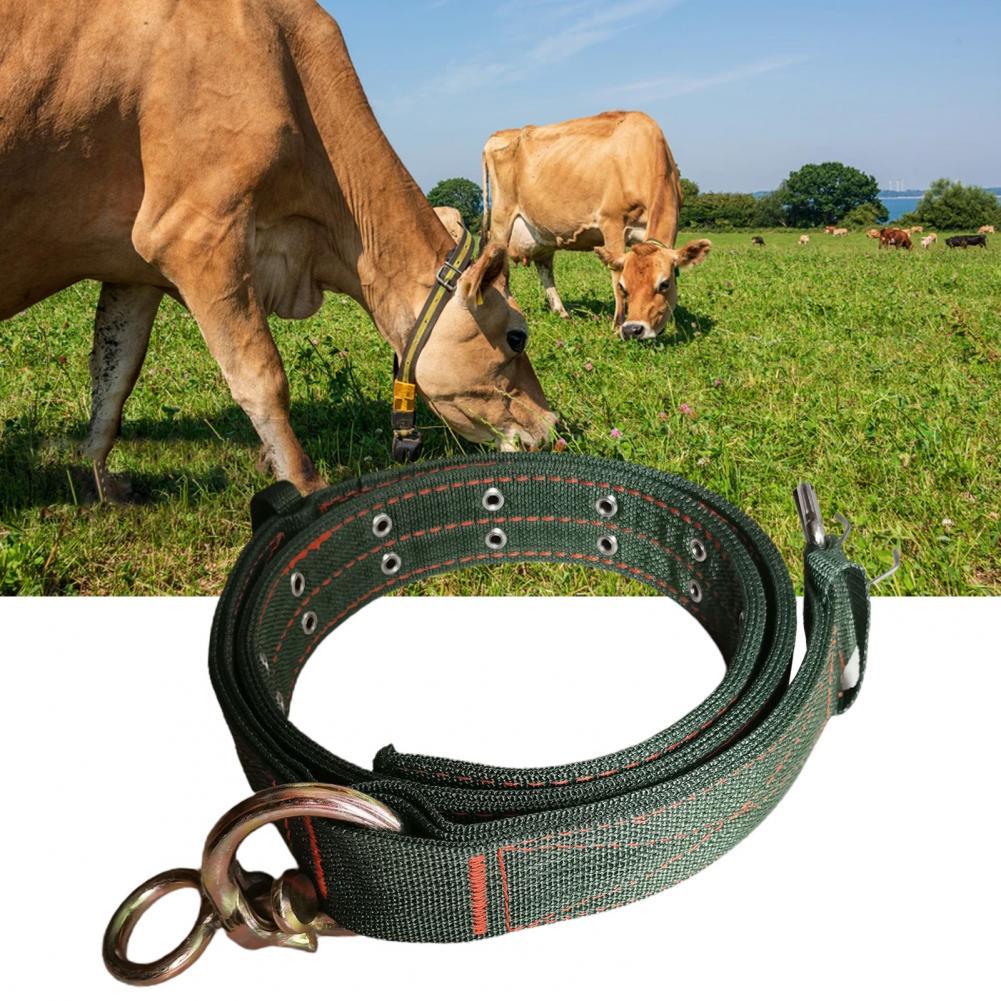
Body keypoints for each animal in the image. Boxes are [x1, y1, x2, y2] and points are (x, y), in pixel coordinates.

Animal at [0, 0, 557, 499]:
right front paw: (303, 483)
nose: (552, 425)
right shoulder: (196, 235)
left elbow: (114, 374)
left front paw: (98, 481)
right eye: (517, 337)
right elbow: (262, 376)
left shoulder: (134, 269)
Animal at [481, 111, 711, 340]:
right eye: (624, 287)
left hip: (542, 232)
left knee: (544, 267)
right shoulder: (612, 221)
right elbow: (614, 272)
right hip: (501, 219)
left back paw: (562, 313)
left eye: (664, 284)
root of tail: (499, 134)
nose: (634, 329)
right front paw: (617, 326)